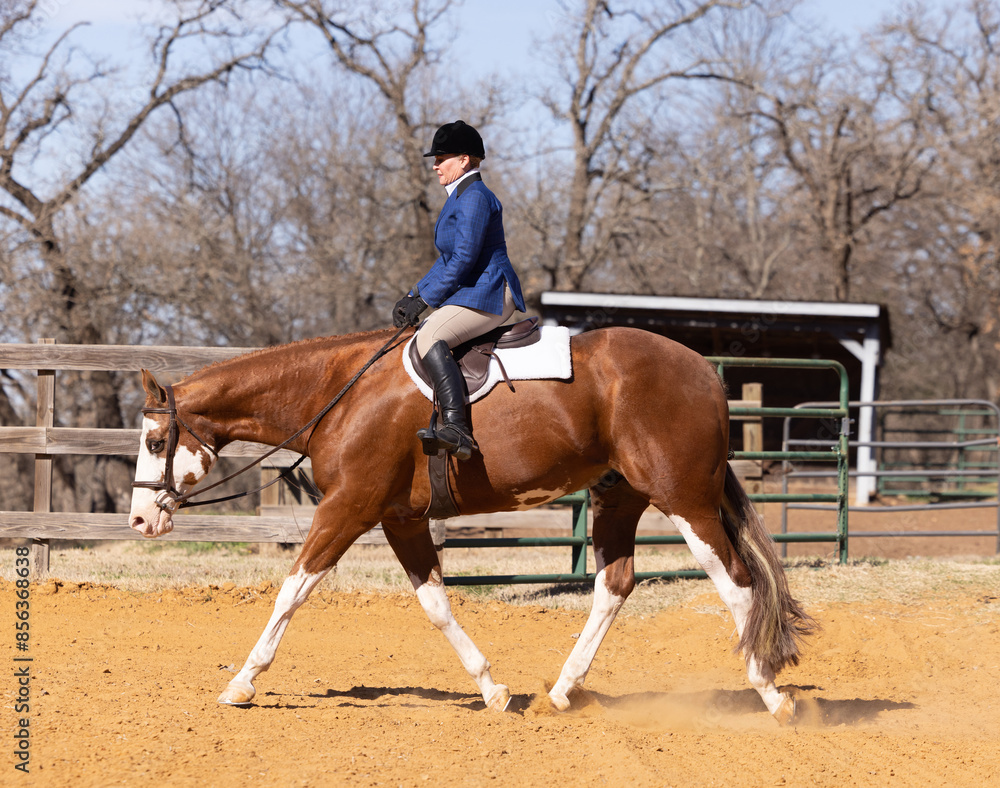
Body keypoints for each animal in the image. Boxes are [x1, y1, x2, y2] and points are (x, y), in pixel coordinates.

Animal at [128, 325, 813, 723]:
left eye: (157, 440)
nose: (138, 519)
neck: (338, 395)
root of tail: (703, 369)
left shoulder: (347, 508)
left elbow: (292, 589)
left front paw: (242, 682)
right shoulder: (400, 519)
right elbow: (435, 605)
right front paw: (492, 690)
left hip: (684, 499)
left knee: (736, 583)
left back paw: (772, 693)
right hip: (618, 498)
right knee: (615, 585)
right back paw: (562, 692)